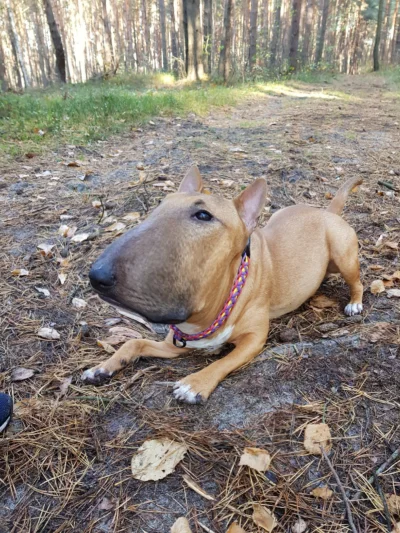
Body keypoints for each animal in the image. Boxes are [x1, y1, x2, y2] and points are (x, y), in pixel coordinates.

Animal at [82, 166, 362, 404]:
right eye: (158, 207)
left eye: (203, 215)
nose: (98, 275)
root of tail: (326, 211)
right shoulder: (174, 345)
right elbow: (133, 343)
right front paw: (102, 367)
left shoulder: (254, 339)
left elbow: (224, 361)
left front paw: (194, 383)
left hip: (343, 255)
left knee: (357, 282)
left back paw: (355, 304)